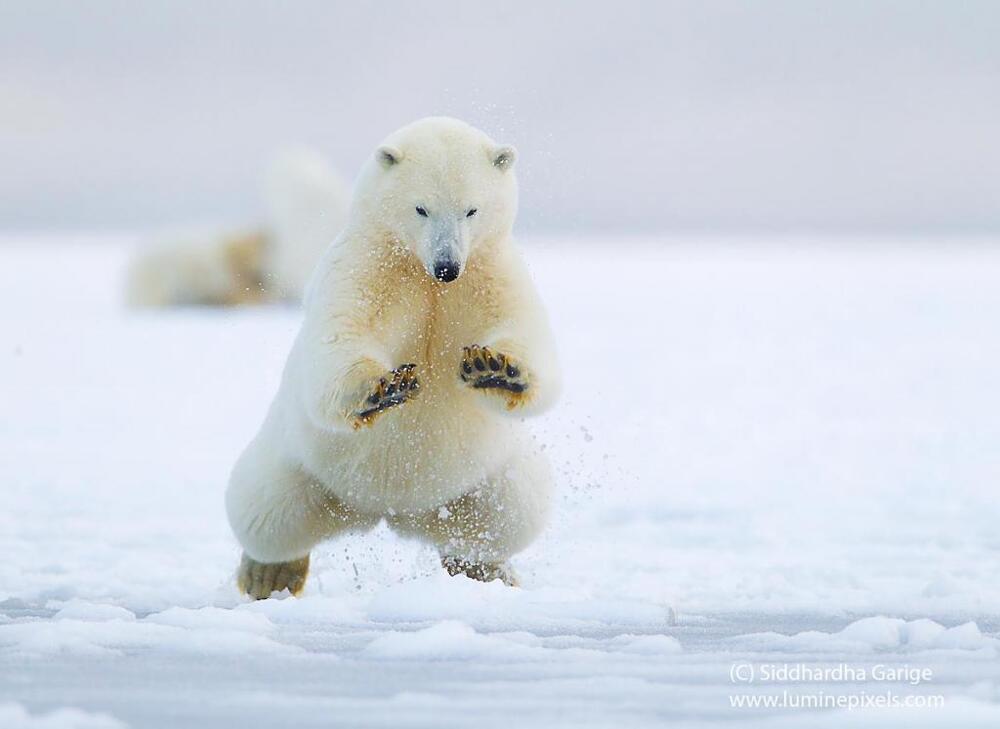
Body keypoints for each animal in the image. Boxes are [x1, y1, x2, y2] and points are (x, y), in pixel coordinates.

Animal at [226, 115, 564, 596]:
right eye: (421, 208)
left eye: (471, 209)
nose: (447, 266)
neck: (423, 274)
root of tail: (387, 513)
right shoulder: (368, 264)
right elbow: (343, 332)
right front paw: (385, 387)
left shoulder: (489, 270)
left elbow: (522, 329)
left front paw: (495, 368)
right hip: (297, 464)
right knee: (264, 509)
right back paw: (267, 573)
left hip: (487, 478)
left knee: (510, 513)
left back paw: (487, 569)